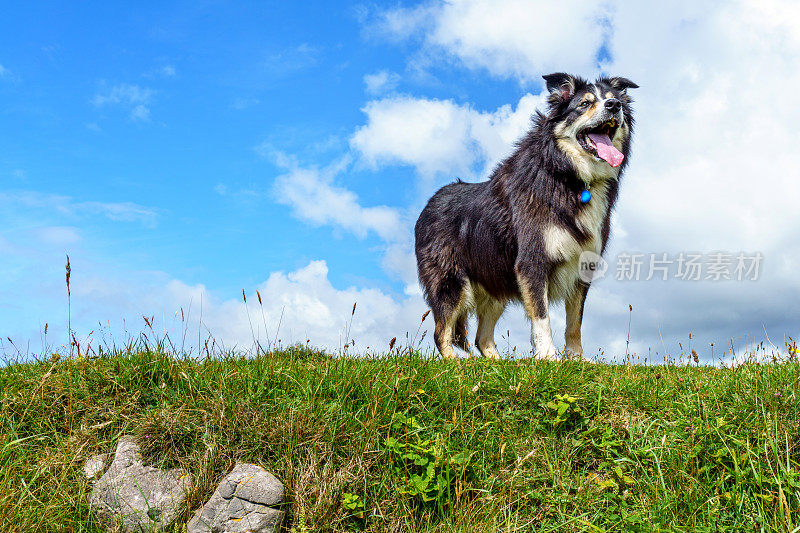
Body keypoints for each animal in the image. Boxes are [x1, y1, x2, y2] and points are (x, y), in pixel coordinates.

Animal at [412, 72, 636, 360]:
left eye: (613, 99)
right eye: (585, 104)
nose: (614, 106)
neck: (570, 176)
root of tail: (428, 205)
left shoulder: (582, 266)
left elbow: (574, 323)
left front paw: (577, 359)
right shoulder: (532, 261)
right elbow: (541, 316)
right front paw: (549, 357)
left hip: (495, 283)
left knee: (482, 337)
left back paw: (495, 364)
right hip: (451, 282)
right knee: (442, 331)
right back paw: (456, 364)